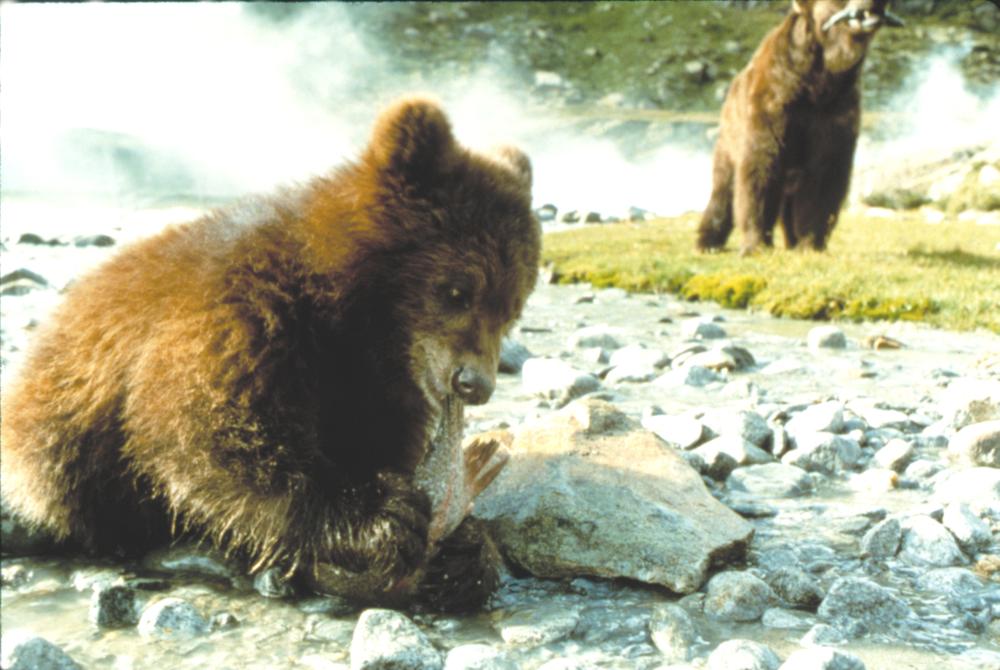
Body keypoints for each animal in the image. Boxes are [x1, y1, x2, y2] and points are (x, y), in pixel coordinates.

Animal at [0, 96, 541, 612]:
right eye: (456, 290)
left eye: (511, 308)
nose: (474, 384)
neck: (350, 317)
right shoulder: (241, 322)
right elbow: (206, 433)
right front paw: (383, 515)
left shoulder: (377, 388)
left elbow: (382, 444)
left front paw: (466, 552)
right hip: (62, 447)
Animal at [696, 0, 903, 255]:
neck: (818, 79)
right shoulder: (776, 102)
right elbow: (760, 171)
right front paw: (756, 243)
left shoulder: (835, 112)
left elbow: (824, 178)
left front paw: (811, 242)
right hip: (730, 138)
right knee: (724, 189)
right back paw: (707, 241)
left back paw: (792, 241)